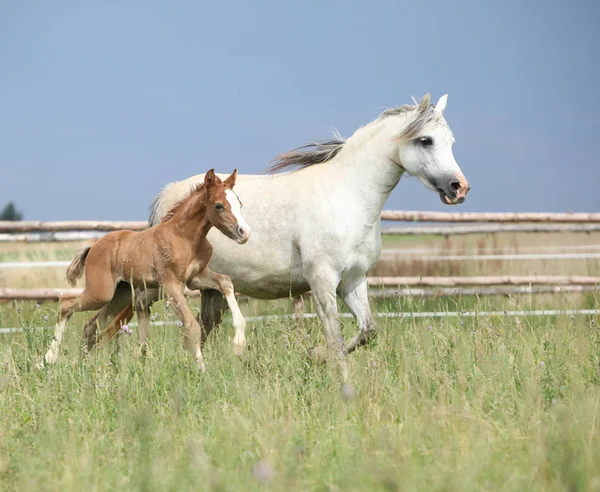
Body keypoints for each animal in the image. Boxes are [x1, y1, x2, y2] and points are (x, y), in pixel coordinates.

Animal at [41, 169, 248, 368]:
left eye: (239, 204)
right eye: (219, 205)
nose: (244, 232)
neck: (184, 237)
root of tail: (93, 246)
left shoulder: (195, 277)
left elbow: (225, 281)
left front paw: (239, 344)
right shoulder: (171, 284)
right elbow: (191, 325)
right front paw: (201, 369)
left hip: (120, 294)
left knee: (90, 324)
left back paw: (81, 364)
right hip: (101, 292)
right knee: (66, 304)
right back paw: (49, 358)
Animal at [82, 93, 472, 384]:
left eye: (452, 141)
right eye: (425, 140)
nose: (459, 188)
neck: (348, 197)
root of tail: (167, 197)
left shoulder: (353, 282)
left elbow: (367, 331)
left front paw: (314, 357)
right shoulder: (322, 281)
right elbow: (335, 336)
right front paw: (336, 377)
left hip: (206, 290)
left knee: (186, 330)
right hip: (152, 286)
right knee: (102, 322)